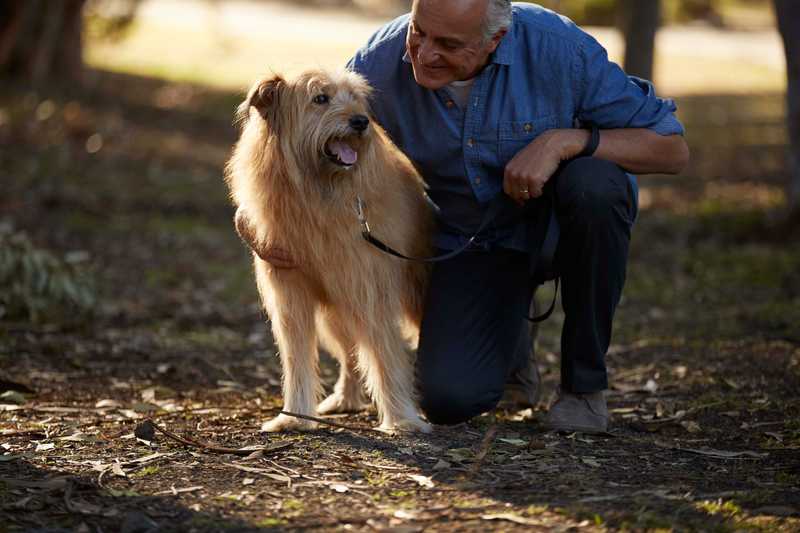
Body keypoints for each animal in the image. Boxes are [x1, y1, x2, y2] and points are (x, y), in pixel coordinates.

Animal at [225, 68, 434, 432]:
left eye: (356, 97)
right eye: (320, 98)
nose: (361, 121)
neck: (318, 189)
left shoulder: (370, 288)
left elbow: (385, 354)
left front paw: (401, 419)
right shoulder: (290, 291)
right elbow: (296, 357)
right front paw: (293, 416)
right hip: (335, 315)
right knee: (351, 355)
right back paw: (345, 399)